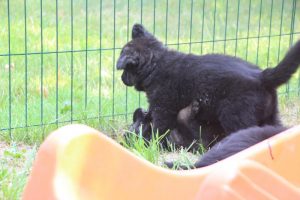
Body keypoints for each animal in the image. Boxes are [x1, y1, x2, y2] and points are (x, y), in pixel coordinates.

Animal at [117, 23, 300, 147]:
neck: (157, 65)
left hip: (236, 117)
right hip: (271, 116)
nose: (122, 78)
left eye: (126, 69)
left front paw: (154, 143)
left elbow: (158, 129)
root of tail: (261, 76)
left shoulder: (163, 109)